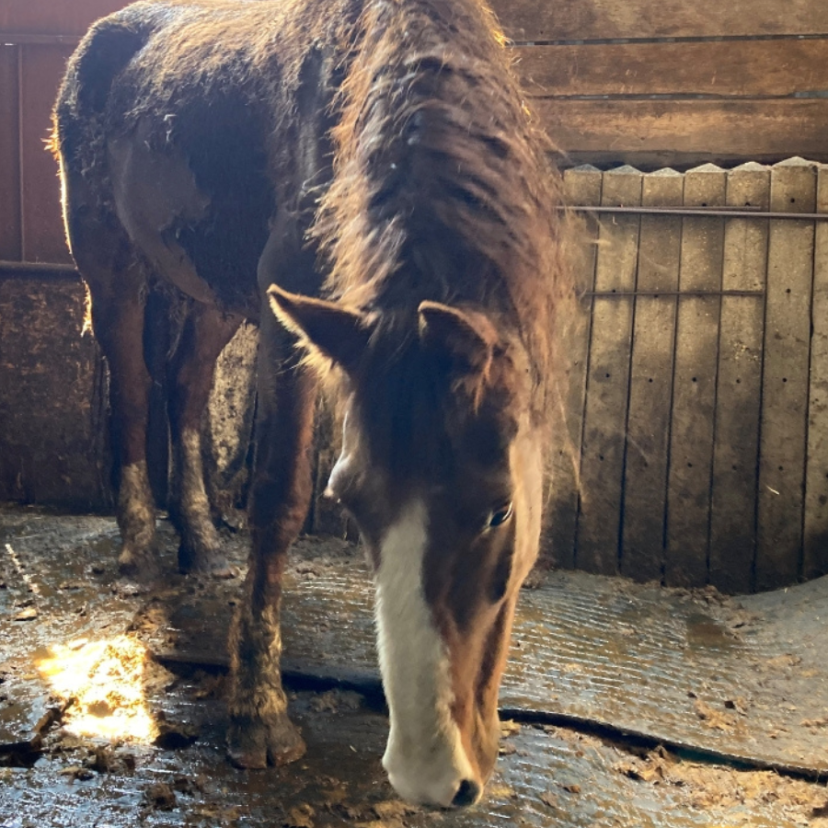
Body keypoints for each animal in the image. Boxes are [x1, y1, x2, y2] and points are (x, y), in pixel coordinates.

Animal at [52, 0, 568, 808]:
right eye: (349, 502)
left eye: (499, 511)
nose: (429, 776)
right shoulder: (291, 329)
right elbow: (279, 498)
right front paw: (259, 716)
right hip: (112, 268)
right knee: (134, 389)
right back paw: (141, 549)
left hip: (219, 294)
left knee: (185, 385)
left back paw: (201, 542)